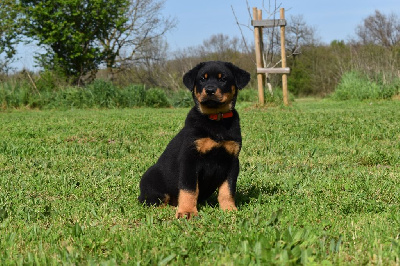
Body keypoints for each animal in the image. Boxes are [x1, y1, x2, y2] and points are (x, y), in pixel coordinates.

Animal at [138, 60, 250, 218]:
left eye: (223, 79)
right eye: (202, 79)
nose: (210, 90)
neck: (215, 119)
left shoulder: (232, 160)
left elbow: (227, 189)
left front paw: (229, 210)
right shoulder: (190, 159)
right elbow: (189, 189)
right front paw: (187, 211)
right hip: (151, 177)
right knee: (152, 203)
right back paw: (172, 208)